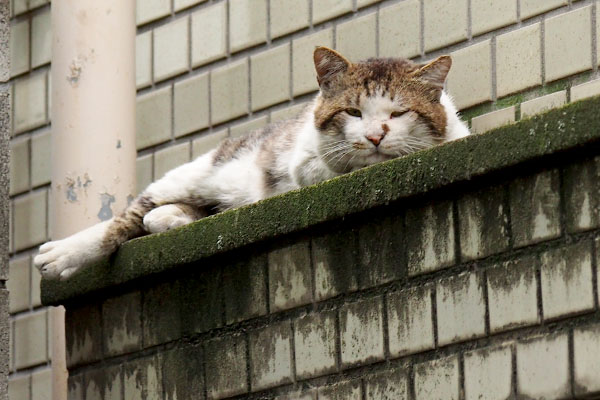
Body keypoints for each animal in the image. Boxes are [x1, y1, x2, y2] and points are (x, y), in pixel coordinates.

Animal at [35, 46, 472, 278]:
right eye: (352, 112)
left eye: (398, 114)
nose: (375, 136)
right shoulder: (305, 160)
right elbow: (332, 160)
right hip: (193, 174)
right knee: (126, 217)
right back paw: (62, 254)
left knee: (161, 215)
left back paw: (172, 218)